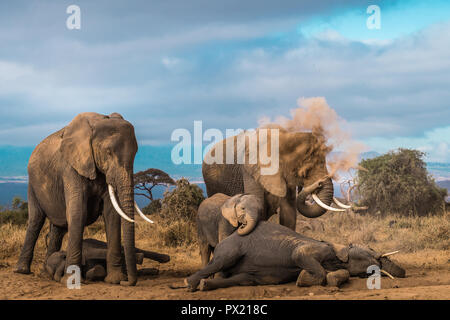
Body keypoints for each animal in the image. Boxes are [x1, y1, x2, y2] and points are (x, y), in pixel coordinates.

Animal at [185, 221, 406, 292]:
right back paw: (191, 283)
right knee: (220, 261)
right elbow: (300, 255)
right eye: (371, 251)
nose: (403, 274)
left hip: (246, 275)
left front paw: (331, 279)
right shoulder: (316, 249)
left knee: (243, 279)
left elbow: (338, 273)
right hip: (232, 248)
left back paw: (205, 285)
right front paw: (302, 280)